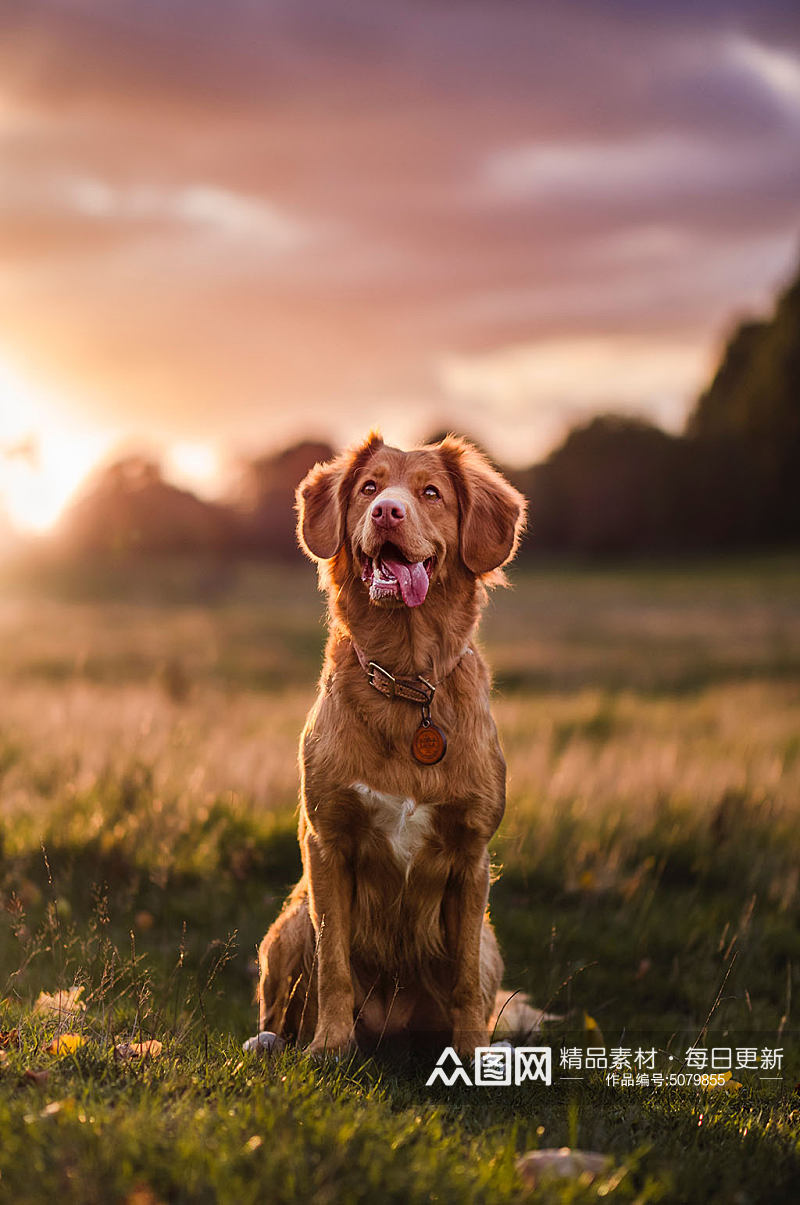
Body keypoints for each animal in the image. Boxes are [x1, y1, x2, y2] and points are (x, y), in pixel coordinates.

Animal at [257, 433, 525, 1055]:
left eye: (430, 492)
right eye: (368, 487)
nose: (386, 512)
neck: (406, 682)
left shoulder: (472, 857)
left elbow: (465, 981)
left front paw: (472, 1055)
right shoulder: (327, 844)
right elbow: (333, 965)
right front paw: (329, 1047)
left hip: (490, 943)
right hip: (287, 925)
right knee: (280, 1003)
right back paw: (273, 1041)